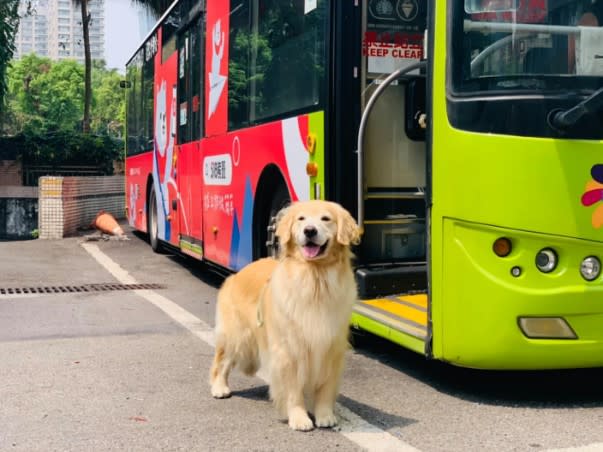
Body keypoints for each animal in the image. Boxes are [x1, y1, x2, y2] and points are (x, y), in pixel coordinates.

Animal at [210, 200, 360, 430]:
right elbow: (293, 390)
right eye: (301, 219)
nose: (309, 230)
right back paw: (219, 387)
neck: (315, 279)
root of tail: (237, 273)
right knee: (221, 360)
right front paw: (299, 417)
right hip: (238, 335)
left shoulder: (331, 347)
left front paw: (325, 415)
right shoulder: (289, 350)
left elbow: (326, 388)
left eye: (326, 219)